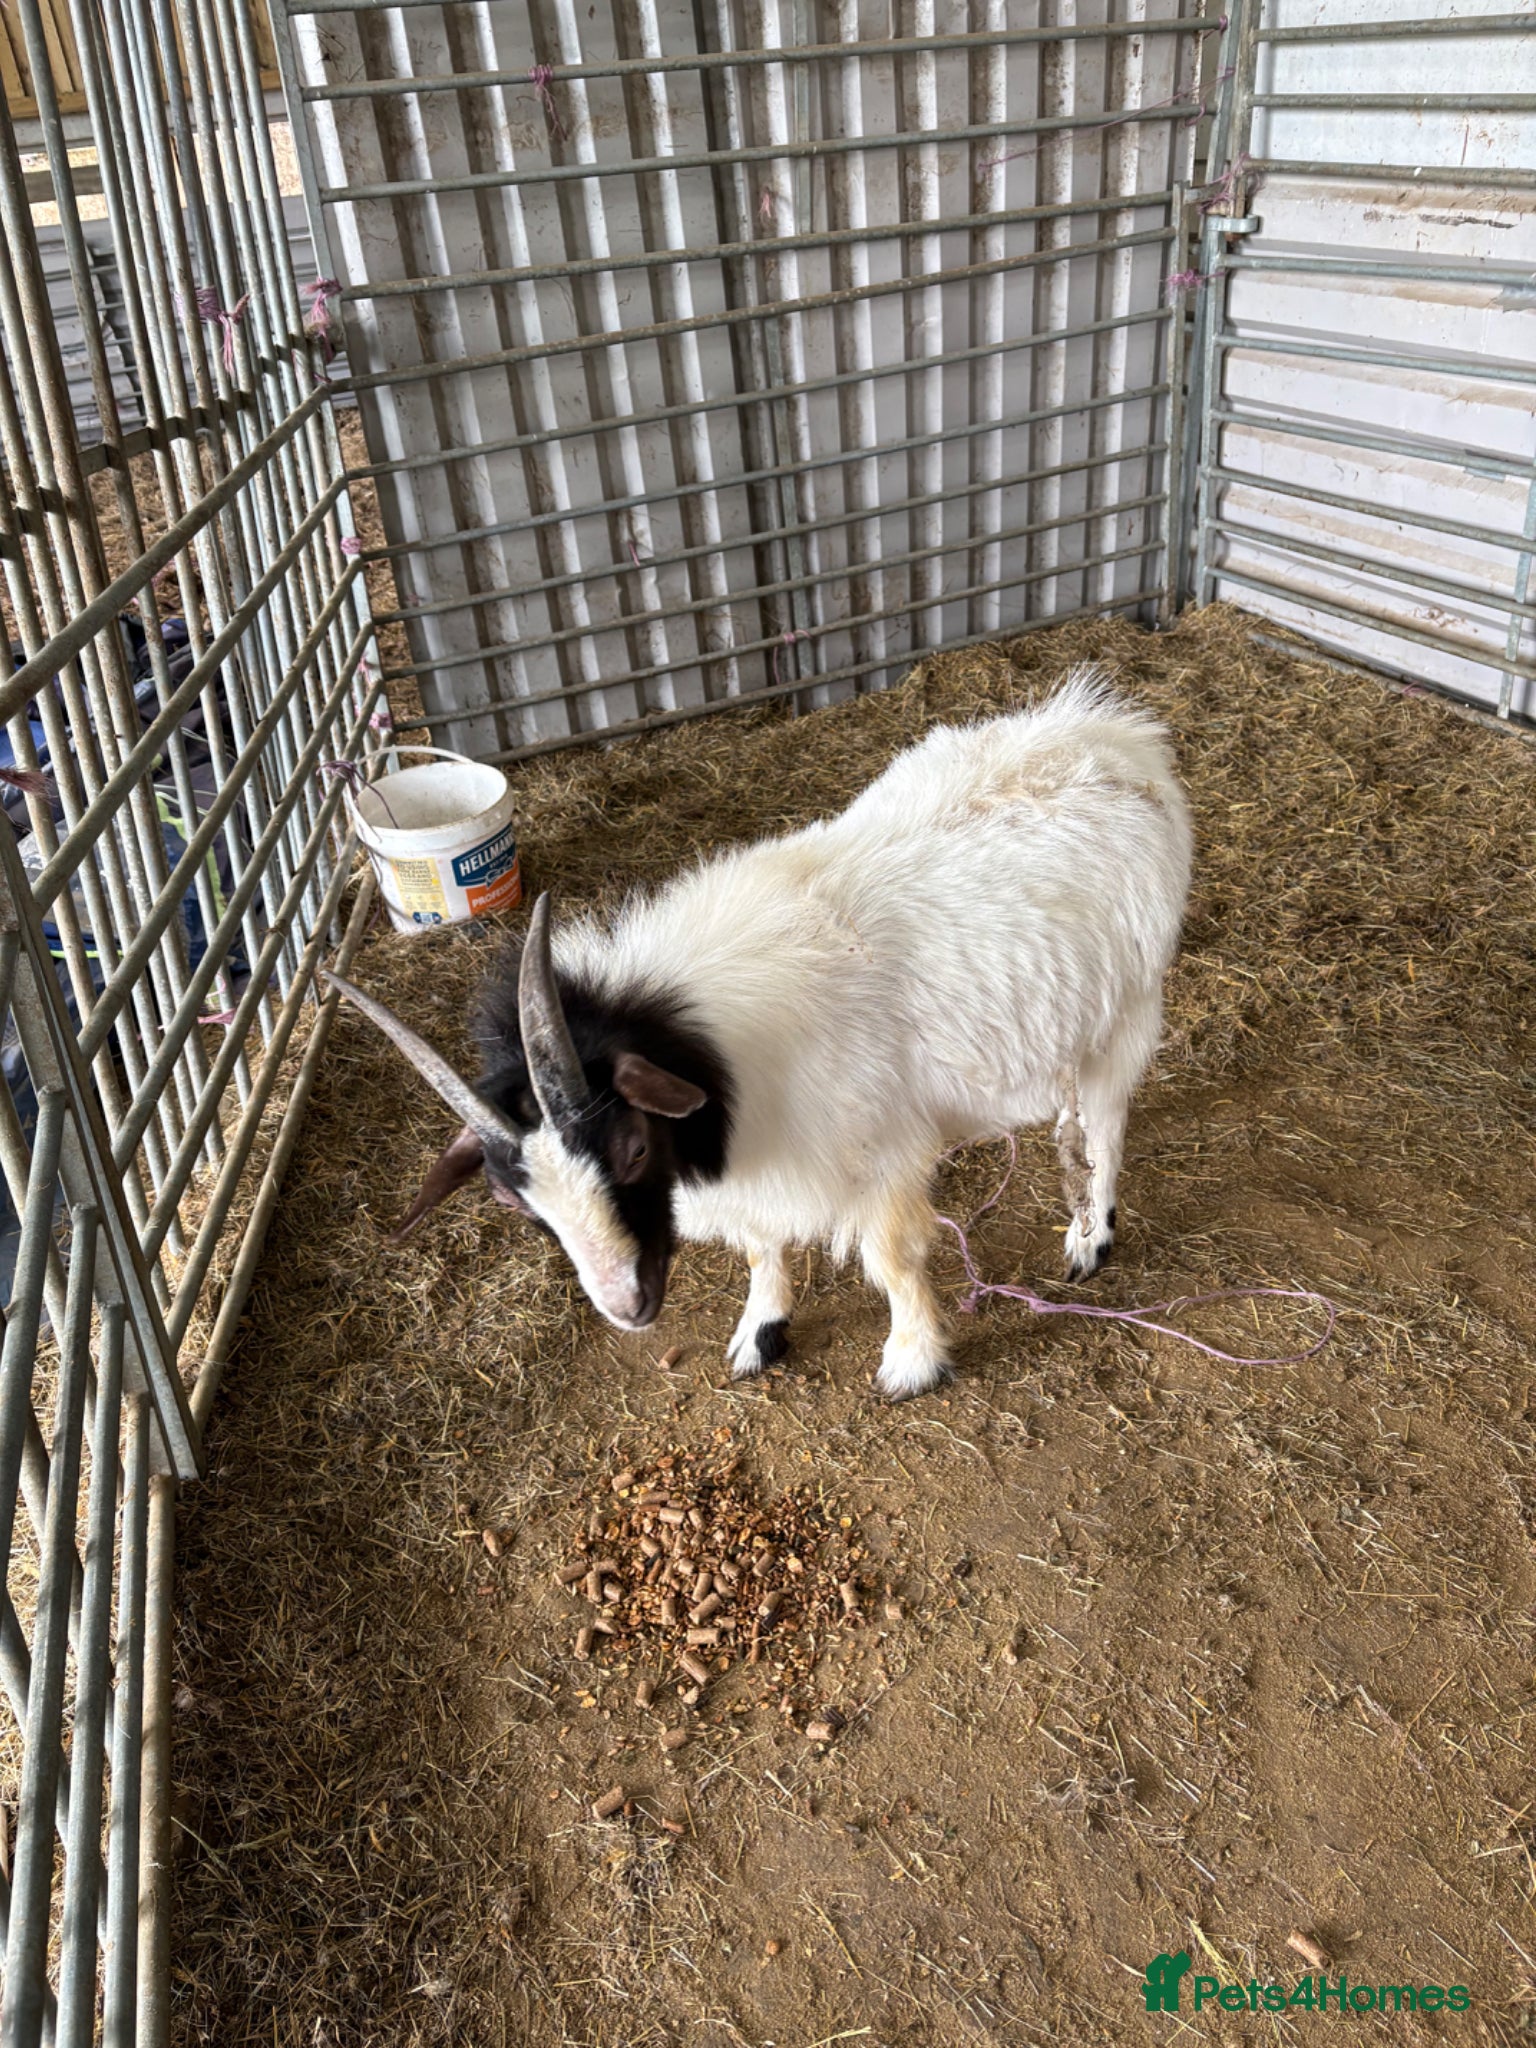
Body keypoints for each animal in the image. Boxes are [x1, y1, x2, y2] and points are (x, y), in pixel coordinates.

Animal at [327, 667, 1192, 1401]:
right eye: (514, 1201)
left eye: (633, 1149)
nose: (629, 1307)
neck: (708, 1044)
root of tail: (1112, 735)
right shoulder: (761, 1161)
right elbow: (759, 1245)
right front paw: (761, 1331)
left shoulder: (880, 1155)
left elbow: (893, 1258)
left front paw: (911, 1363)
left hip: (1128, 1008)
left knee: (1106, 1126)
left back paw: (1091, 1236)